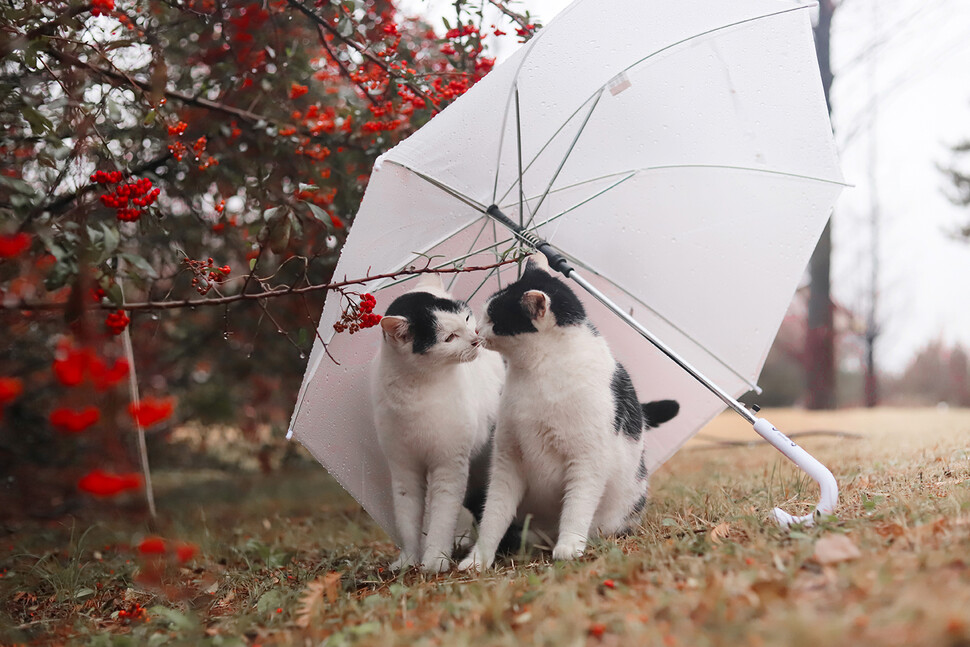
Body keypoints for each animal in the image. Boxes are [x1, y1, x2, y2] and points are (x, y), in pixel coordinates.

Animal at [370, 274, 506, 572]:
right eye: (449, 337)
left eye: (466, 318)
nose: (476, 339)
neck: (416, 393)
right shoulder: (404, 469)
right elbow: (407, 519)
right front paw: (409, 560)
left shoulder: (449, 465)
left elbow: (443, 517)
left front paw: (435, 561)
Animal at [458, 256, 676, 568]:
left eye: (493, 319)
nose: (476, 331)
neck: (538, 372)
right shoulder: (507, 461)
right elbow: (494, 516)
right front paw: (479, 559)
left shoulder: (586, 461)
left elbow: (577, 507)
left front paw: (570, 546)